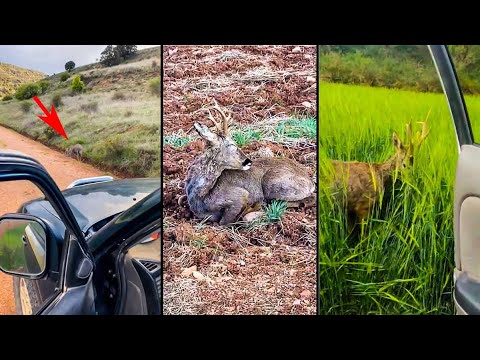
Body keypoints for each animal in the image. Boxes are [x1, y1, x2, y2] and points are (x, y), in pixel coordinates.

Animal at [184, 100, 316, 225]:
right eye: (232, 145)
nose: (248, 161)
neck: (202, 195)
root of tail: (310, 182)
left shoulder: (240, 195)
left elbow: (223, 222)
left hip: (273, 184)